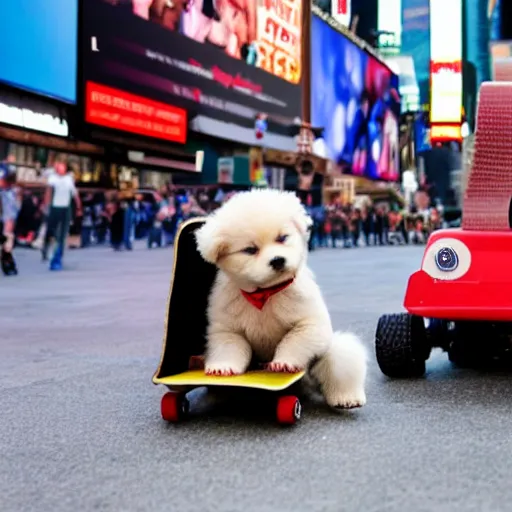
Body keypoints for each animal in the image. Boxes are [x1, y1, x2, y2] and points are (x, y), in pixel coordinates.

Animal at [194, 188, 366, 408]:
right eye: (250, 250)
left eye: (282, 238)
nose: (277, 260)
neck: (265, 293)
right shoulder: (228, 330)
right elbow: (230, 347)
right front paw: (223, 368)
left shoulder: (310, 323)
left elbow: (293, 340)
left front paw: (283, 363)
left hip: (334, 352)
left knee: (340, 365)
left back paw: (346, 397)